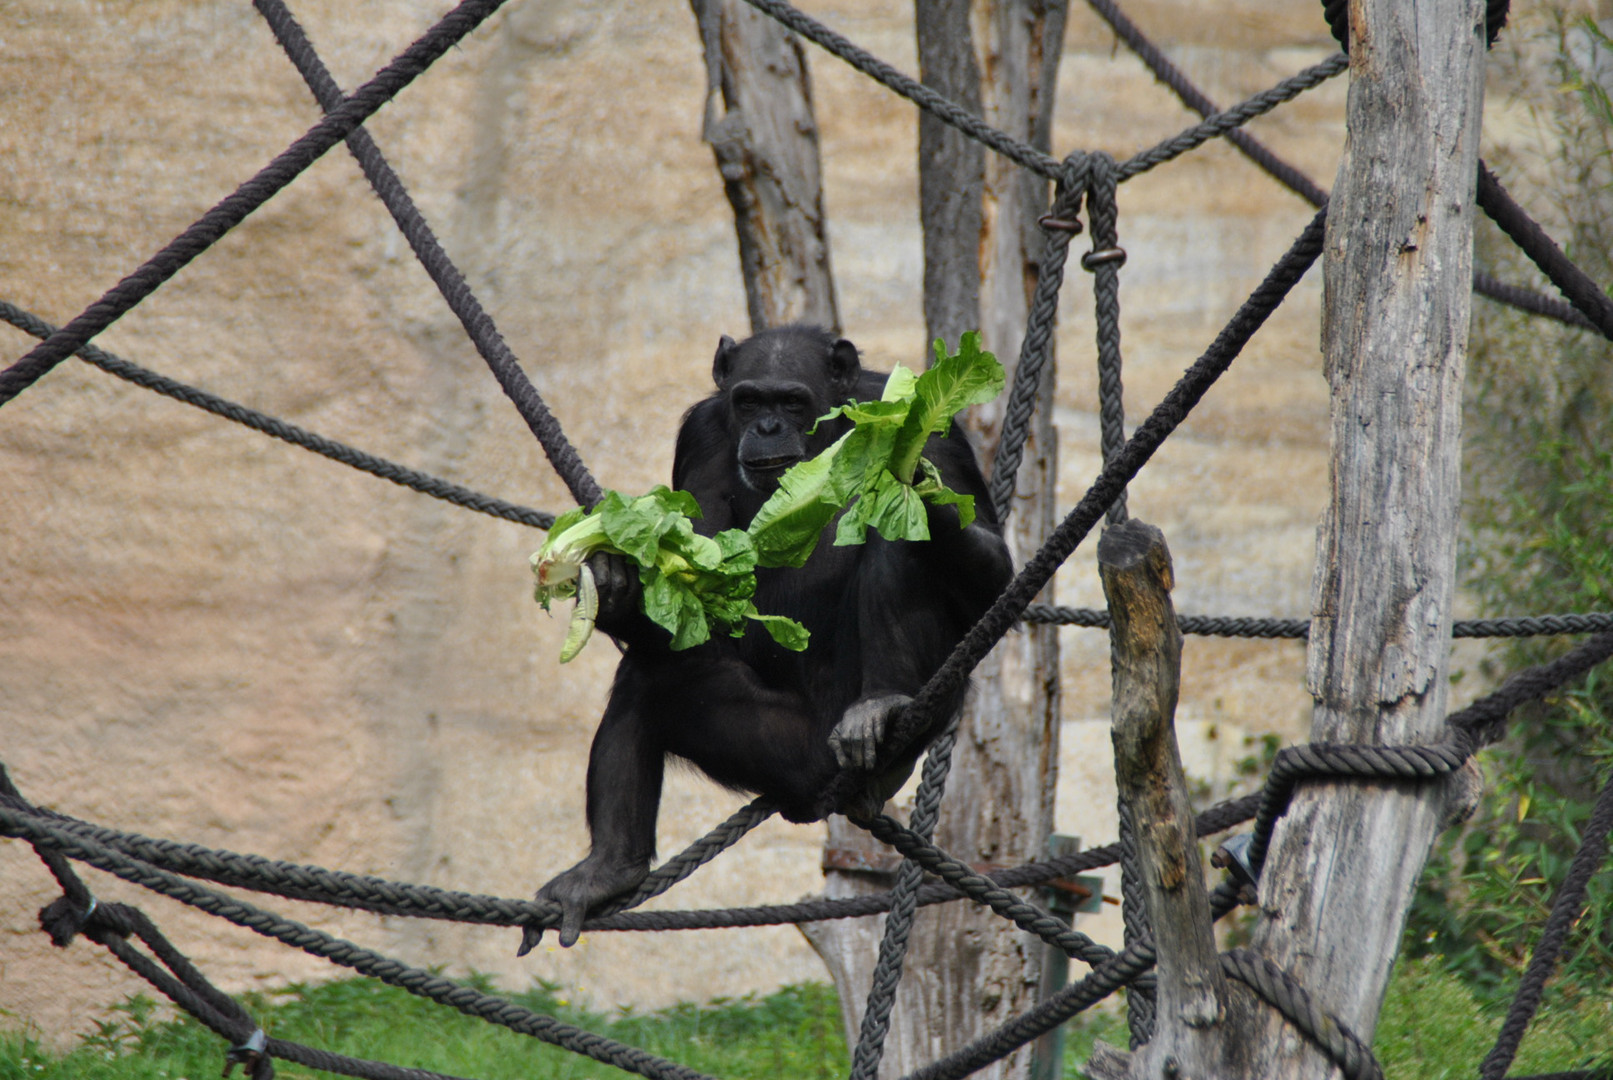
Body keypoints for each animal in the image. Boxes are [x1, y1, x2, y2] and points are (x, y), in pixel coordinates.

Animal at [522, 325, 1012, 954]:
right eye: (751, 401)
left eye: (793, 402)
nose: (769, 427)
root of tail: (820, 796)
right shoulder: (702, 433)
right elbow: (701, 582)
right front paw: (614, 576)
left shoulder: (943, 435)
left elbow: (991, 571)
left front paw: (909, 476)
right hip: (778, 750)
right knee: (646, 680)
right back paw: (607, 869)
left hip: (864, 741)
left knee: (898, 543)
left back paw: (879, 707)